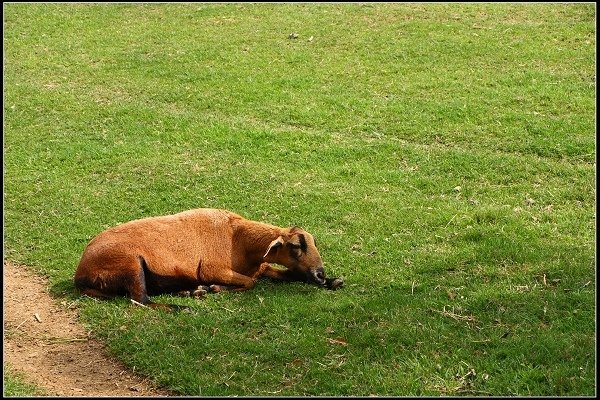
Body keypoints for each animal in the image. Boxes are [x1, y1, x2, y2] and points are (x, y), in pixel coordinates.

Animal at [74, 208, 342, 310]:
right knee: (140, 300)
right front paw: (213, 288)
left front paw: (334, 281)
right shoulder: (212, 269)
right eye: (296, 246)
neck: (240, 240)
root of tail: (80, 275)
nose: (319, 273)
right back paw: (183, 305)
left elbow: (288, 274)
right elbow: (250, 283)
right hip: (130, 264)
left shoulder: (263, 267)